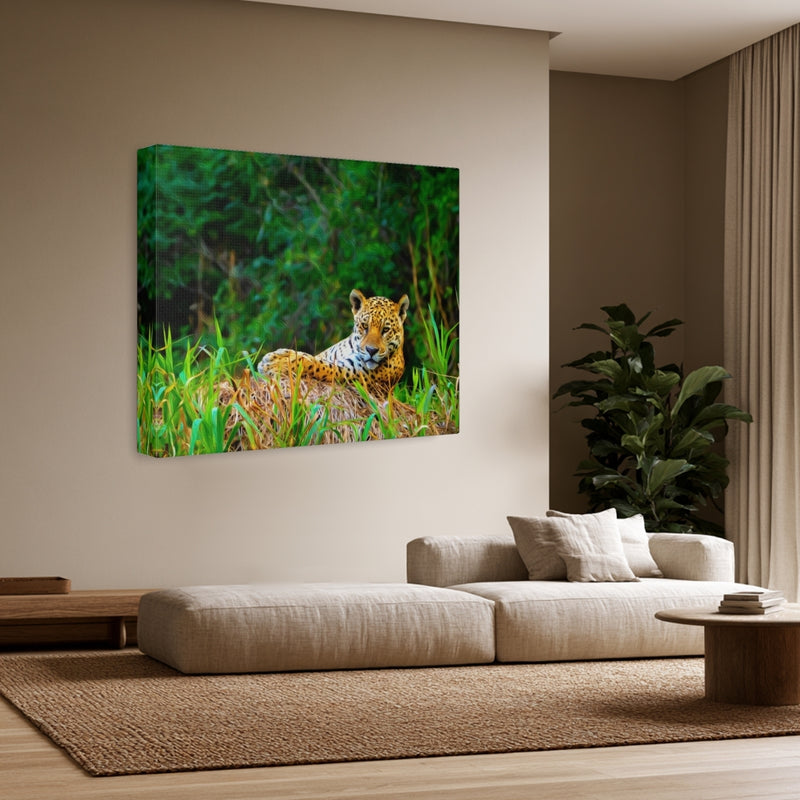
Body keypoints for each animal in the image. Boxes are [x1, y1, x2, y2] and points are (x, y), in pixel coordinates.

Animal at [258, 288, 410, 397]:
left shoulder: (350, 372)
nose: (371, 350)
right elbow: (311, 357)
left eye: (386, 330)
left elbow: (316, 364)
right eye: (364, 326)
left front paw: (276, 363)